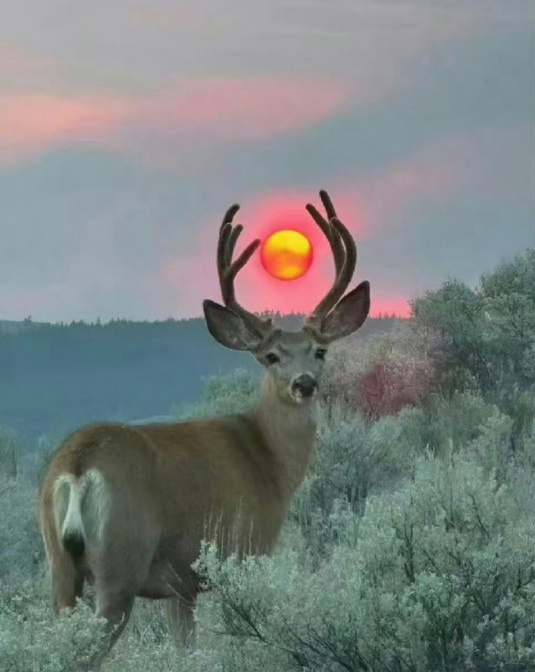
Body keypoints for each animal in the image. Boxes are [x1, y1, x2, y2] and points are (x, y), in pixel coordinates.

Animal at [38, 189, 372, 668]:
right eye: (271, 356)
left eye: (320, 351)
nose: (304, 384)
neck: (266, 459)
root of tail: (78, 467)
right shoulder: (241, 553)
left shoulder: (179, 586)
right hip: (121, 561)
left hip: (60, 568)